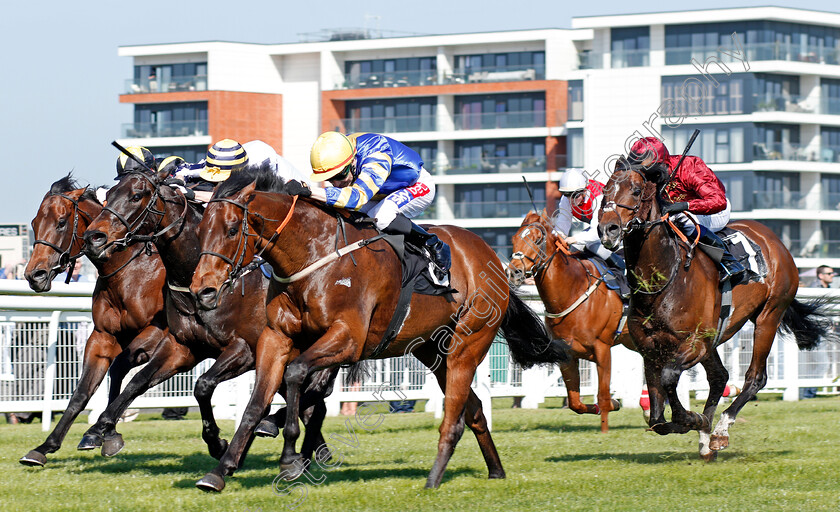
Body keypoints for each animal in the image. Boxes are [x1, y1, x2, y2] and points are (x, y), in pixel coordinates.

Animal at [20, 177, 171, 468]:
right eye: (33, 223)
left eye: (61, 222)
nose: (35, 275)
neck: (130, 273)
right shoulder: (103, 336)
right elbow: (82, 392)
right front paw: (45, 447)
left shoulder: (159, 331)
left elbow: (122, 368)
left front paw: (103, 430)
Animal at [83, 167, 334, 464]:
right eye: (109, 194)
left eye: (136, 195)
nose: (94, 237)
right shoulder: (183, 347)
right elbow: (138, 381)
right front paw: (99, 429)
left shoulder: (245, 350)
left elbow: (202, 385)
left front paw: (217, 442)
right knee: (308, 404)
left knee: (314, 398)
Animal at [190, 169, 572, 492]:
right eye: (200, 230)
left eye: (231, 229)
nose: (202, 290)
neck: (314, 256)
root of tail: (493, 258)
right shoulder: (275, 337)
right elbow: (255, 404)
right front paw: (221, 469)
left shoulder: (348, 339)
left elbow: (296, 375)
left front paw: (288, 459)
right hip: (433, 350)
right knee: (475, 409)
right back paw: (495, 470)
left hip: (466, 344)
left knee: (454, 417)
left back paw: (433, 479)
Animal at [506, 211, 632, 432]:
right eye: (514, 239)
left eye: (537, 240)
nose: (515, 272)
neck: (573, 289)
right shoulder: (567, 354)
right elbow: (575, 403)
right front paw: (608, 405)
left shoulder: (603, 348)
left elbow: (604, 395)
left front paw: (605, 430)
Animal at [600, 161, 832, 460]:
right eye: (605, 190)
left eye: (637, 190)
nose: (608, 229)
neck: (664, 278)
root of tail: (773, 238)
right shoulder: (650, 349)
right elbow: (657, 419)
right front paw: (694, 423)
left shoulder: (695, 343)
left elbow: (669, 378)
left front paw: (692, 419)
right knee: (719, 377)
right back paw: (706, 439)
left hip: (769, 315)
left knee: (755, 377)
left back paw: (720, 431)